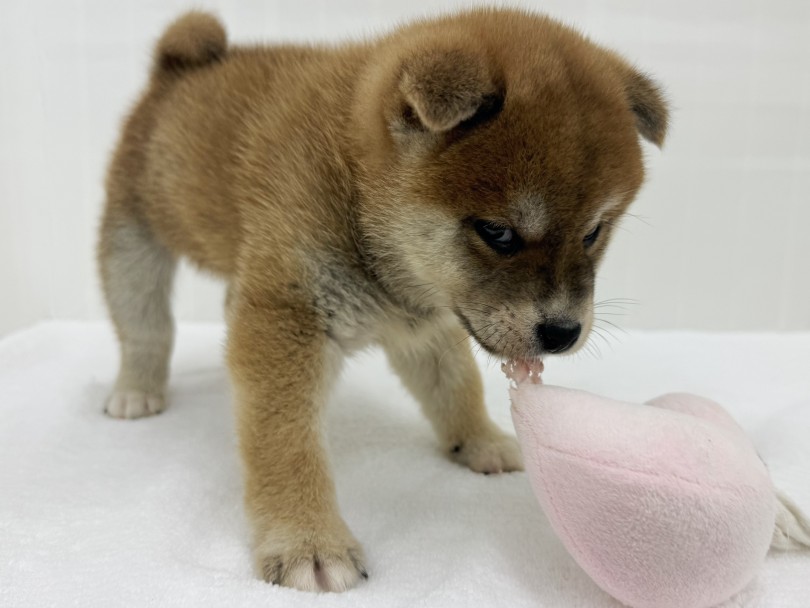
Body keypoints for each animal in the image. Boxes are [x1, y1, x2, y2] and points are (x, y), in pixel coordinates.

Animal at [98, 5, 664, 592]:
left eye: (594, 232)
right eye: (499, 233)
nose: (562, 332)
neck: (353, 185)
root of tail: (175, 67)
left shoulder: (424, 327)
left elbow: (454, 388)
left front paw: (479, 440)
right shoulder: (286, 321)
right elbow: (284, 440)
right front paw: (306, 540)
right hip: (133, 239)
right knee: (144, 327)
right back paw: (137, 390)